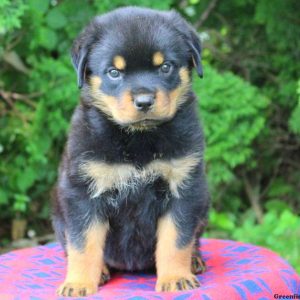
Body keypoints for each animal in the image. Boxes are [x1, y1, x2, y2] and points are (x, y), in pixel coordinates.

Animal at [51, 5, 210, 296]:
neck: (139, 138)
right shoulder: (82, 192)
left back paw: (194, 259)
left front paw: (176, 278)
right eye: (114, 72)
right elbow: (83, 243)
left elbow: (176, 239)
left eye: (165, 67)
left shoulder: (183, 187)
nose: (144, 101)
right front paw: (78, 283)